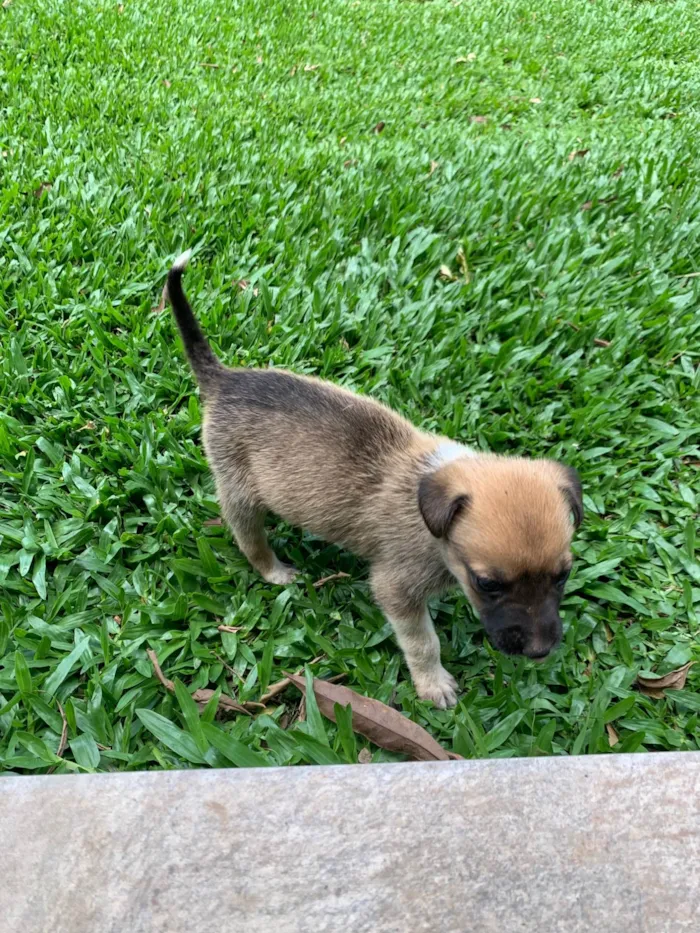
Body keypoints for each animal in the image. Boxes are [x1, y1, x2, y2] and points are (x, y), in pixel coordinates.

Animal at [163, 253, 580, 708]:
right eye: (487, 583)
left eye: (562, 576)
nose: (541, 652)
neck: (428, 505)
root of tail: (224, 379)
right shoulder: (395, 589)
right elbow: (423, 642)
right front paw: (433, 684)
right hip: (238, 491)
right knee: (249, 538)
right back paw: (274, 570)